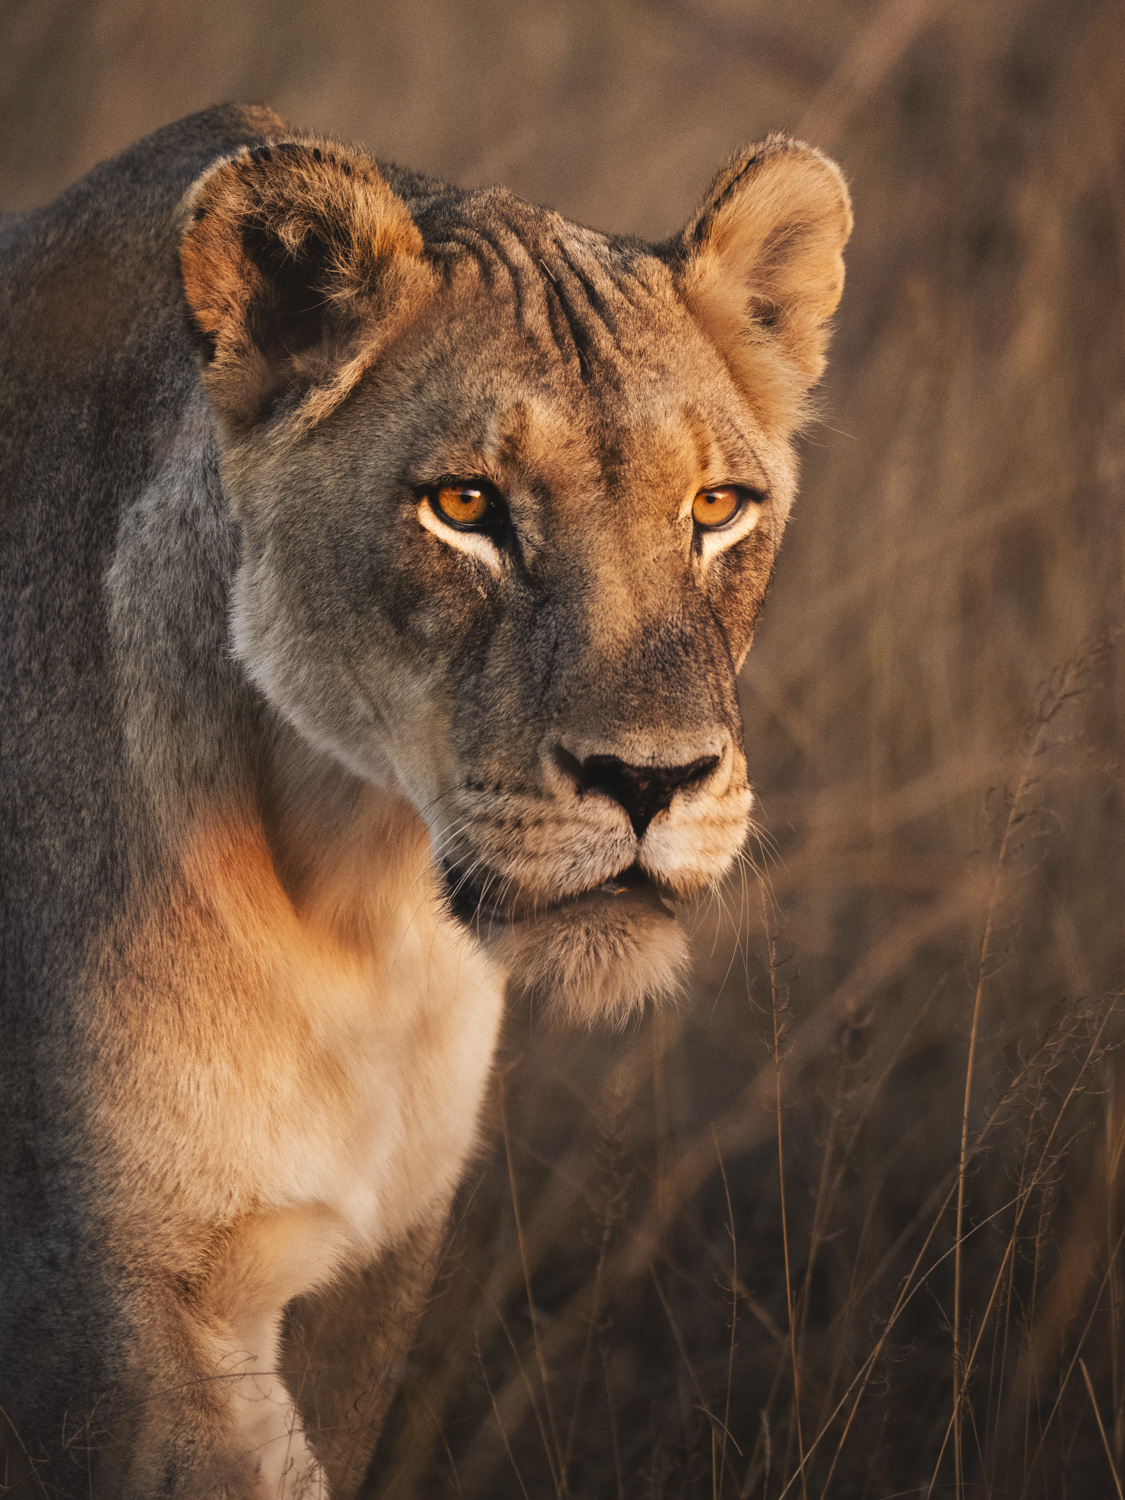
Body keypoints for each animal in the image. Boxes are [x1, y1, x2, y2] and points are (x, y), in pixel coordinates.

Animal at [0, 104, 850, 1497]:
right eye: (466, 507)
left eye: (717, 507)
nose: (651, 781)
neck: (358, 908)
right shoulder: (107, 1303)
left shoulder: (376, 1273)